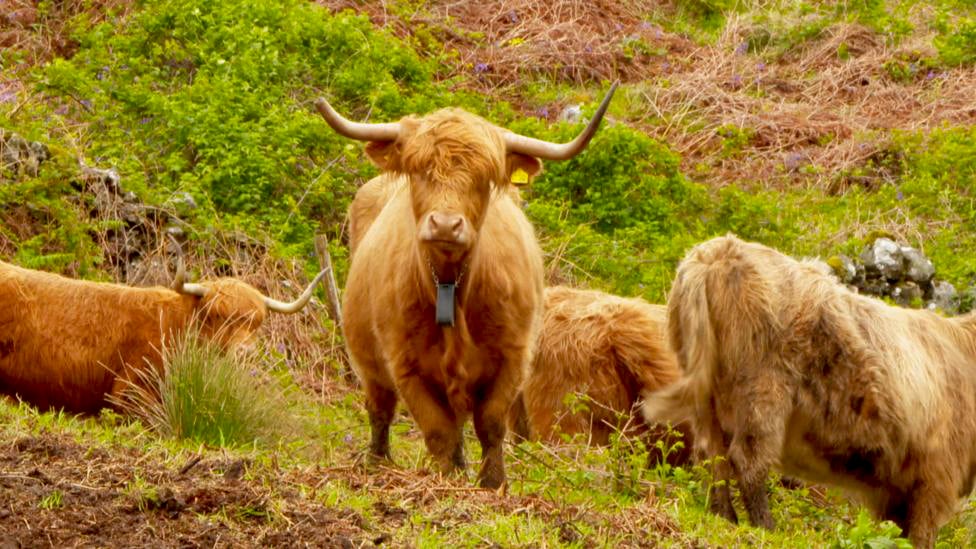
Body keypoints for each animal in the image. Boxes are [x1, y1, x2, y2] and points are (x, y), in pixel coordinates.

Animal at [322, 83, 616, 486]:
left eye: (484, 178)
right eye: (419, 171)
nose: (445, 225)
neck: (451, 286)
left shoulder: (512, 357)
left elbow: (490, 425)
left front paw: (492, 482)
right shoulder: (405, 363)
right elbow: (437, 431)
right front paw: (446, 478)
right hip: (368, 359)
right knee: (380, 409)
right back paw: (376, 461)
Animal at [644, 233, 976, 544]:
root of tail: (716, 253)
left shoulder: (896, 490)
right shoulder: (936, 475)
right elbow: (921, 533)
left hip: (706, 398)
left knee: (711, 456)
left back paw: (724, 517)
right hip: (763, 388)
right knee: (747, 457)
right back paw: (767, 527)